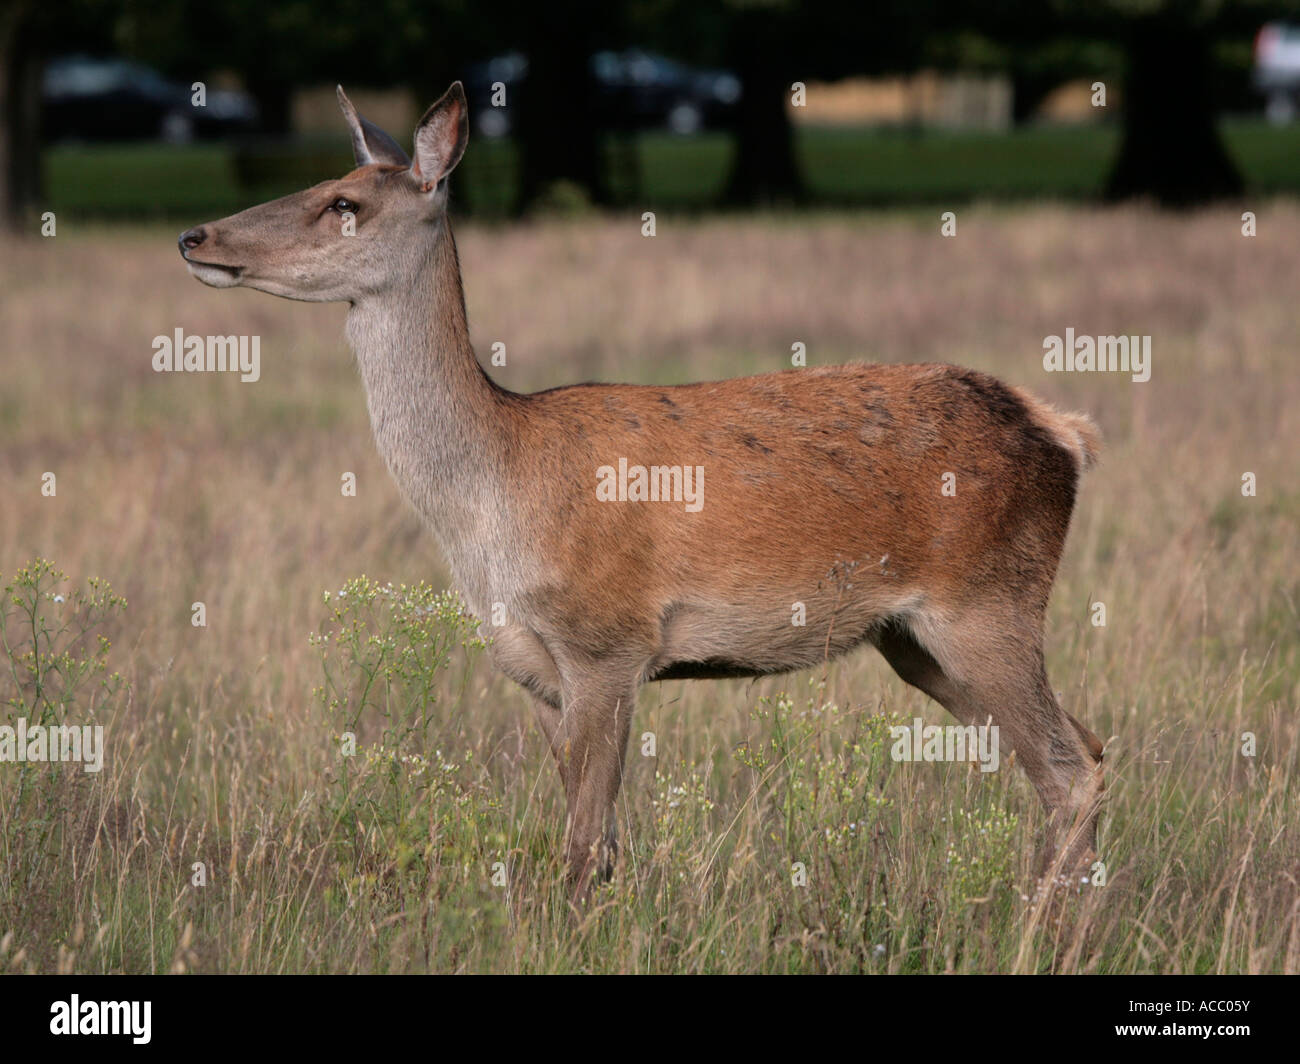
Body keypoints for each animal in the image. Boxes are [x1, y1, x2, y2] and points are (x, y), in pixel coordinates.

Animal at [178, 81, 1106, 905]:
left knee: (1073, 771)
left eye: (344, 204)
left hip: (987, 603)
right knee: (1089, 748)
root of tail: (1062, 433)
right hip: (914, 640)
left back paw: (1039, 929)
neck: (493, 494)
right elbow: (603, 845)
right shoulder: (540, 669)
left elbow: (584, 850)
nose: (194, 235)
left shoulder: (607, 641)